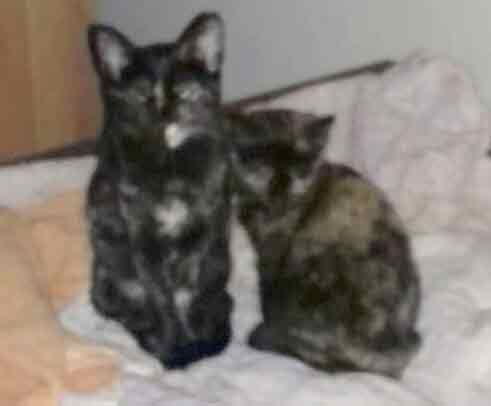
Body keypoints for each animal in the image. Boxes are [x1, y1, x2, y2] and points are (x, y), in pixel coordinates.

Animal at [86, 13, 233, 369]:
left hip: (222, 259)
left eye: (182, 91)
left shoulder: (206, 232)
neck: (170, 165)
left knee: (219, 297)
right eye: (142, 95)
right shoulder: (144, 241)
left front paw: (196, 336)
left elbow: (191, 291)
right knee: (122, 306)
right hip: (107, 264)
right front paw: (172, 343)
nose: (163, 112)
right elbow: (162, 298)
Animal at [227, 109, 421, 378]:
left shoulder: (273, 252)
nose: (281, 189)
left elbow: (268, 292)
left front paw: (268, 323)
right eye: (265, 166)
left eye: (299, 170)